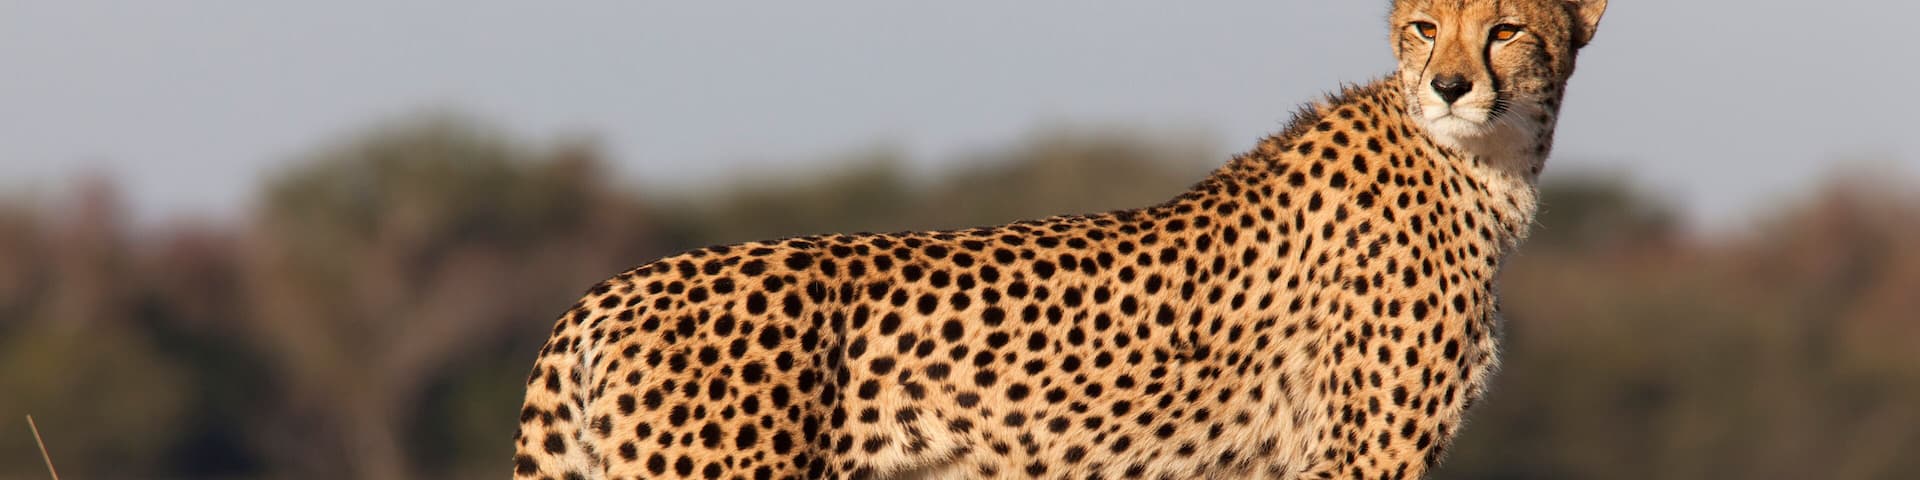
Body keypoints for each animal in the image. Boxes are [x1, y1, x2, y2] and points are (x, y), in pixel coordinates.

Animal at [513, 1, 1608, 478]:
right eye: (1425, 23)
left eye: (1506, 26)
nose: (1452, 84)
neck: (1485, 163)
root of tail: (615, 289)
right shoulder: (1362, 455)